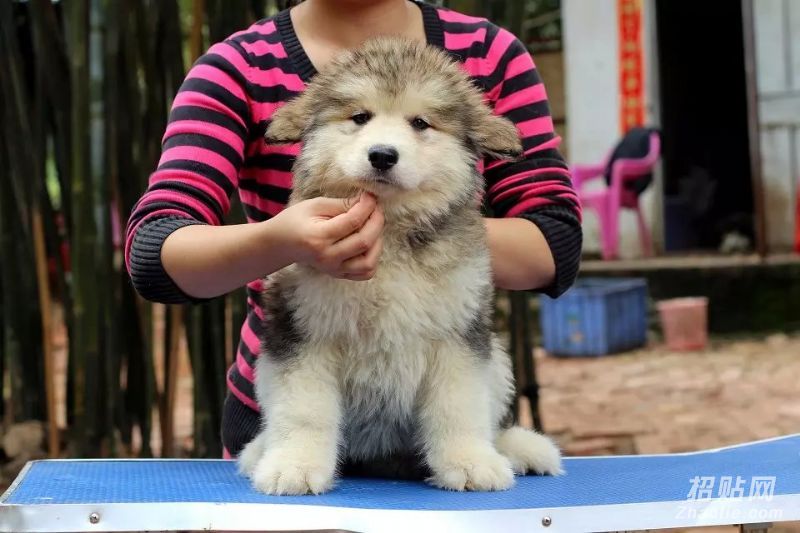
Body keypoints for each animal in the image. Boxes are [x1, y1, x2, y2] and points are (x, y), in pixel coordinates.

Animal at [238, 36, 564, 494]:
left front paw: (469, 461)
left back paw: (519, 448)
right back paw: (259, 450)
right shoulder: (301, 331)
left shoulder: (457, 333)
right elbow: (304, 410)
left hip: (498, 357)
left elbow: (459, 404)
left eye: (420, 123)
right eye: (360, 117)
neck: (390, 232)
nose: (382, 155)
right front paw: (295, 465)